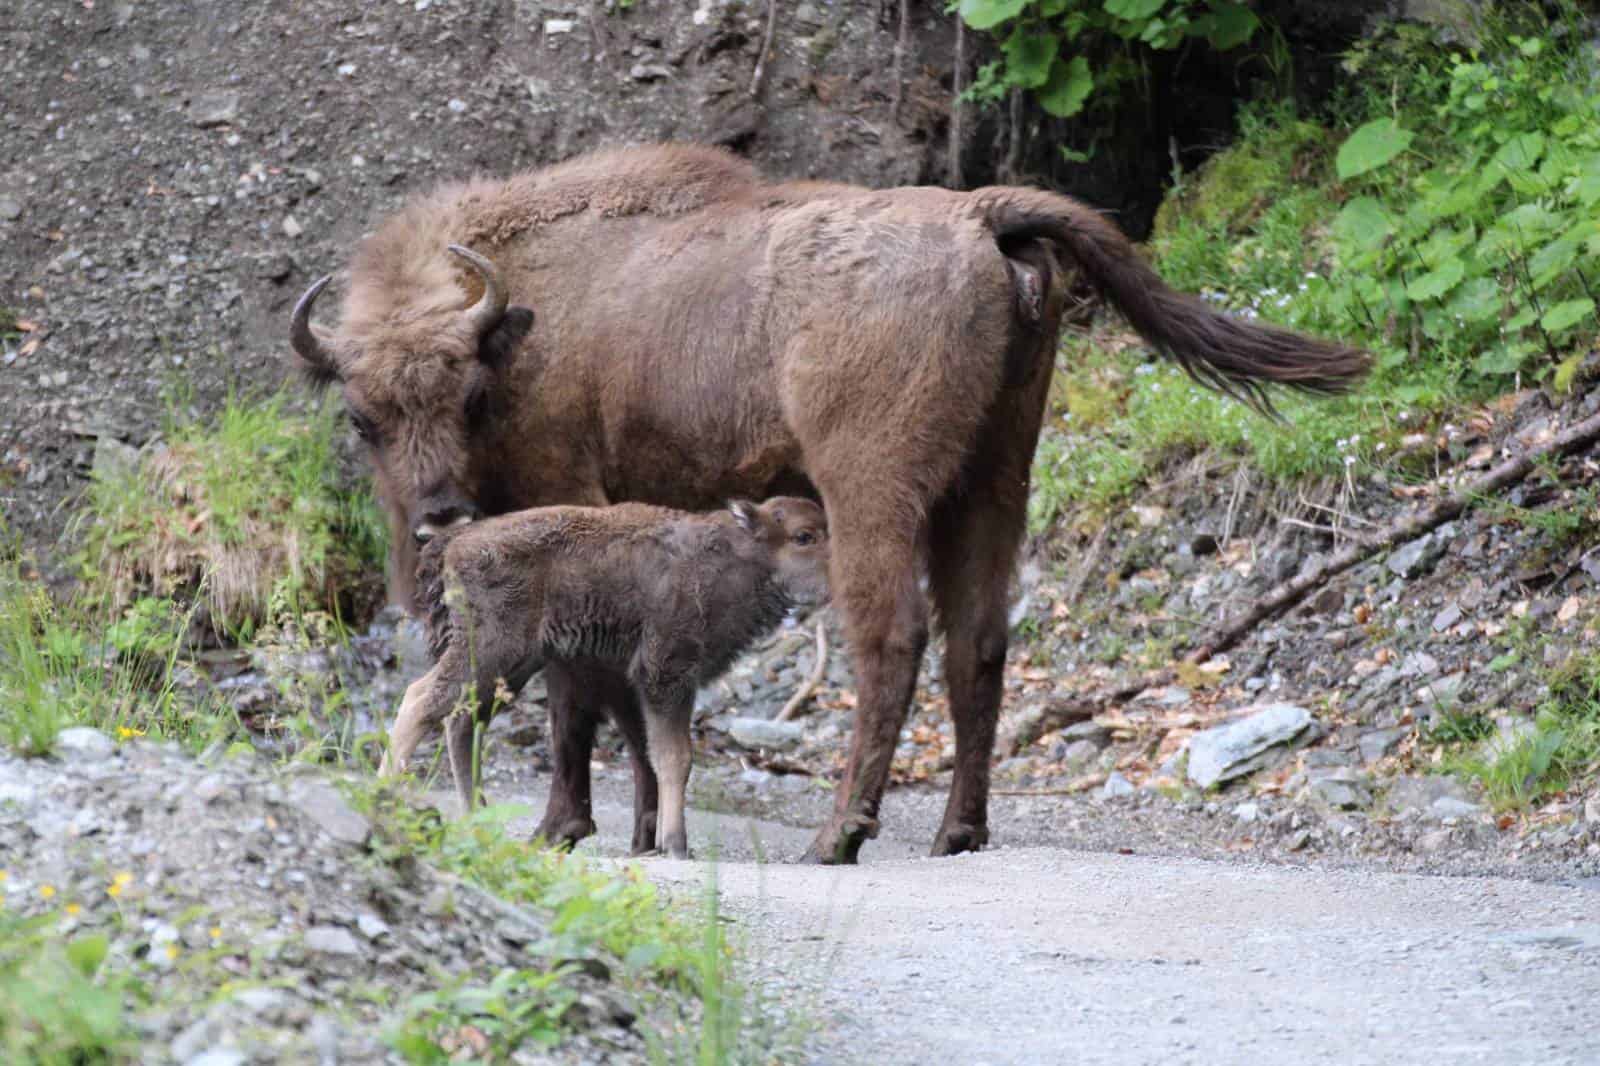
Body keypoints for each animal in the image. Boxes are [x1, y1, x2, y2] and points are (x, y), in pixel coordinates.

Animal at [382, 496, 832, 857]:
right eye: (804, 535)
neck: (735, 555)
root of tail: (453, 544)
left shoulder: (650, 686)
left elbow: (654, 754)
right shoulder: (665, 675)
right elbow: (674, 757)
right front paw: (676, 845)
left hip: (510, 667)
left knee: (461, 720)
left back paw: (477, 814)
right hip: (490, 653)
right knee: (421, 700)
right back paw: (389, 793)